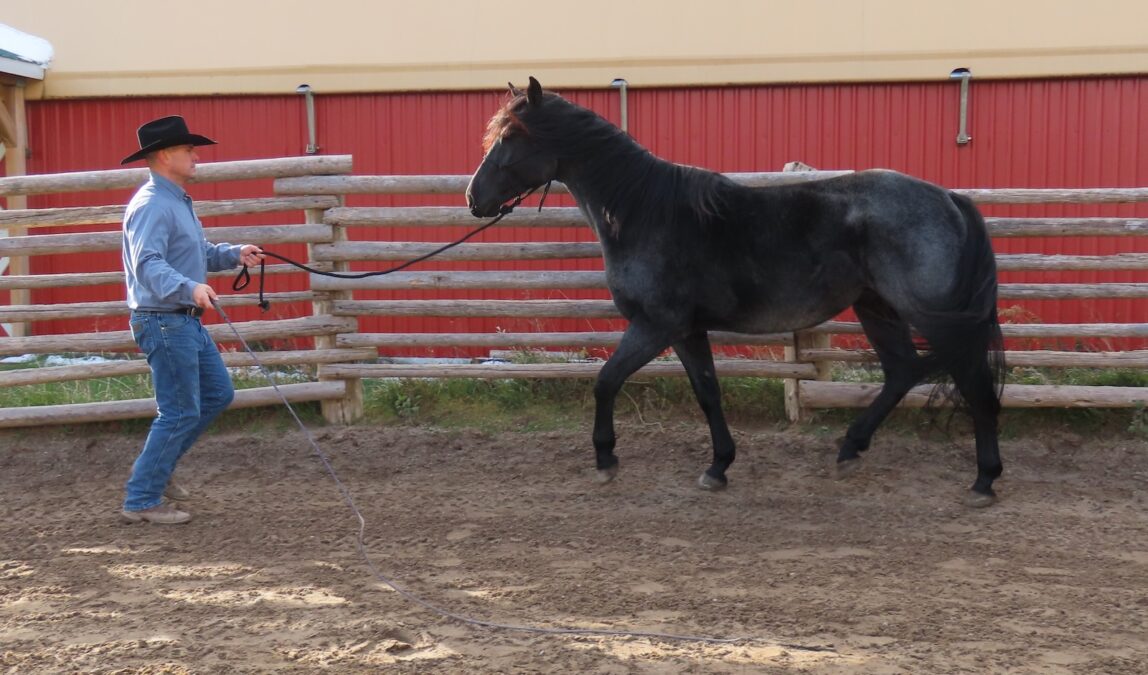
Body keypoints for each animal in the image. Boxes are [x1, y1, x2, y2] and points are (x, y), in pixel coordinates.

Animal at [465, 77, 1005, 507]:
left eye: (511, 136)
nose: (474, 197)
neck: (645, 211)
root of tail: (949, 199)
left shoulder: (655, 326)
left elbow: (605, 380)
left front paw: (606, 459)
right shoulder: (687, 331)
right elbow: (708, 392)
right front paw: (718, 467)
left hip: (932, 316)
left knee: (973, 384)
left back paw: (984, 480)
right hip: (877, 307)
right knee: (902, 372)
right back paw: (850, 450)